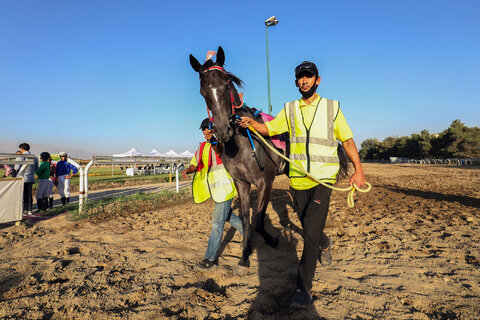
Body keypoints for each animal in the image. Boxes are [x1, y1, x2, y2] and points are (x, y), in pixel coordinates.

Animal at [189, 46, 284, 266]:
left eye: (225, 85)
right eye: (203, 92)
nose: (223, 130)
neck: (241, 147)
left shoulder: (266, 181)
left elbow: (258, 221)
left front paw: (272, 240)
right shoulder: (242, 182)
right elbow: (248, 219)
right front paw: (245, 253)